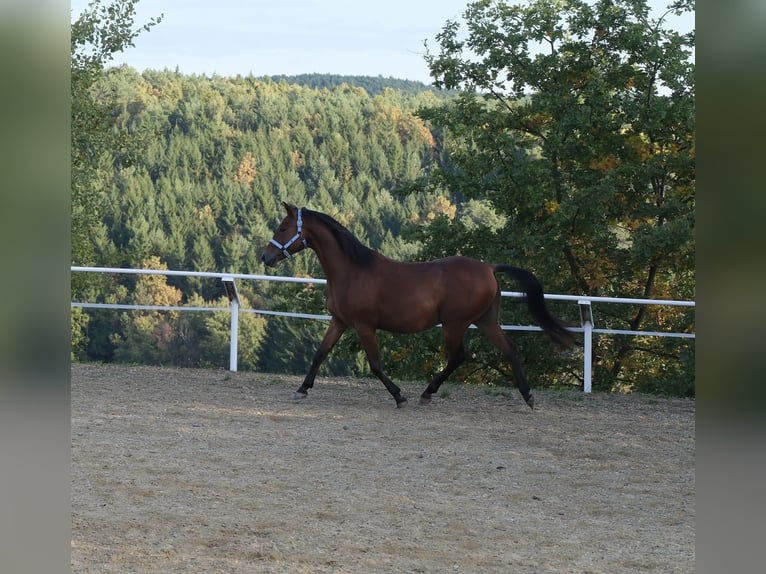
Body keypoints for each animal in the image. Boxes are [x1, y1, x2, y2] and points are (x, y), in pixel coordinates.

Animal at [261, 202, 574, 409]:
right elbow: (320, 354)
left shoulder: (364, 326)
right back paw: (528, 396)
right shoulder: (340, 322)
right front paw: (302, 389)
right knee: (509, 349)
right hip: (485, 320)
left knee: (459, 357)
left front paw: (399, 395)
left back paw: (427, 393)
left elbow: (375, 364)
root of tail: (488, 267)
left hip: (454, 324)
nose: (266, 257)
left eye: (283, 227)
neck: (352, 269)